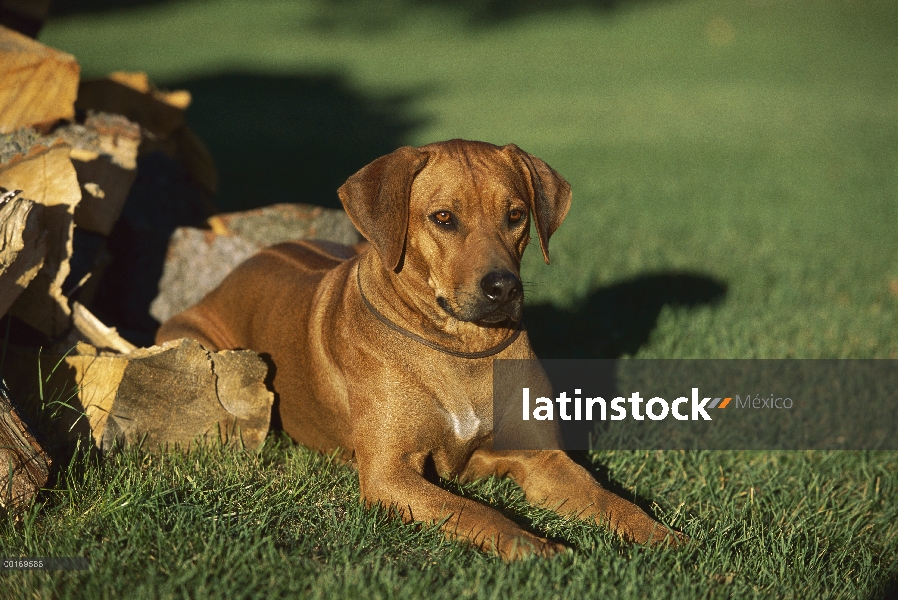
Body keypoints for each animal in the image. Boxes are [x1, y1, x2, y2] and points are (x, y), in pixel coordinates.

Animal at [158, 139, 684, 556]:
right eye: (444, 218)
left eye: (516, 215)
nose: (503, 288)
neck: (459, 345)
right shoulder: (389, 474)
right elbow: (476, 513)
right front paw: (532, 544)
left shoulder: (541, 459)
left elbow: (607, 498)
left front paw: (663, 535)